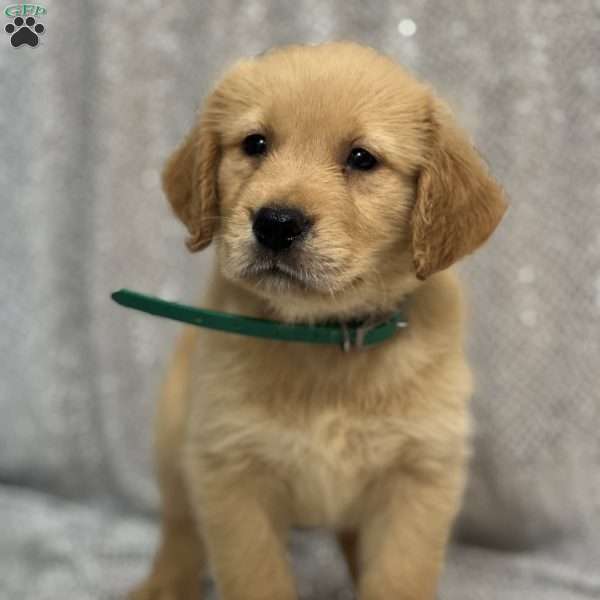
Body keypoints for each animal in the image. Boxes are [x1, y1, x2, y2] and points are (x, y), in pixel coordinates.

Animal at [127, 42, 506, 600]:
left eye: (362, 158)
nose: (275, 223)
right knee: (179, 526)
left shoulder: (420, 472)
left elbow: (398, 576)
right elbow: (256, 577)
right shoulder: (229, 469)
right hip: (173, 433)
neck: (330, 339)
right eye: (255, 144)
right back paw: (164, 584)